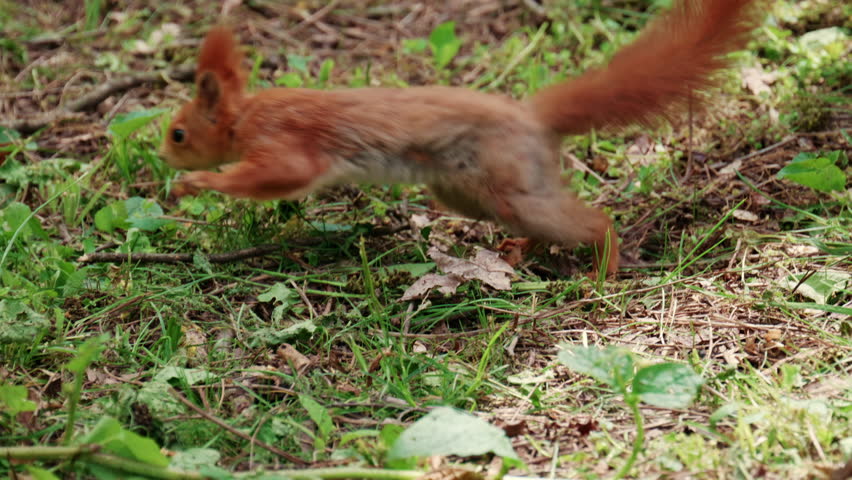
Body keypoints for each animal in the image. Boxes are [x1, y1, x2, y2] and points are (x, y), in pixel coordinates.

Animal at [161, 0, 763, 276]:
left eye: (178, 132)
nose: (163, 155)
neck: (244, 118)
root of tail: (531, 117)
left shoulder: (286, 142)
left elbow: (281, 176)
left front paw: (195, 184)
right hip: (465, 191)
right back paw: (522, 252)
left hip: (503, 182)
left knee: (592, 220)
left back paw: (603, 270)